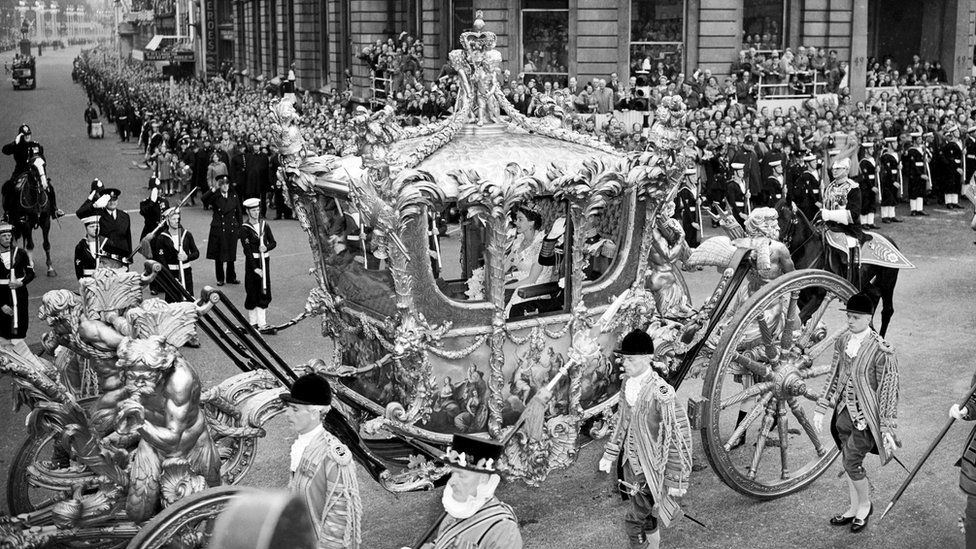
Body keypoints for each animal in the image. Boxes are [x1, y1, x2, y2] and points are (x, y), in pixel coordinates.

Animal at [776, 201, 900, 338]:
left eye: (783, 219)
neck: (808, 251)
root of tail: (890, 240)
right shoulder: (801, 297)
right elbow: (803, 321)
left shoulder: (818, 296)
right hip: (864, 281)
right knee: (874, 295)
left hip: (889, 281)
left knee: (887, 310)